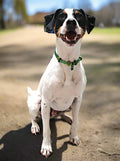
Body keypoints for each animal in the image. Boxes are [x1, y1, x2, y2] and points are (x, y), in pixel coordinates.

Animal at [26, 8, 95, 158]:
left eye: (79, 16)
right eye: (62, 17)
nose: (71, 22)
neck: (68, 62)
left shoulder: (78, 99)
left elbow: (76, 121)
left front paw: (73, 136)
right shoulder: (46, 101)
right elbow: (47, 129)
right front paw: (46, 147)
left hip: (68, 105)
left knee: (63, 114)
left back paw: (68, 118)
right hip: (36, 102)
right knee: (34, 118)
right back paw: (35, 126)